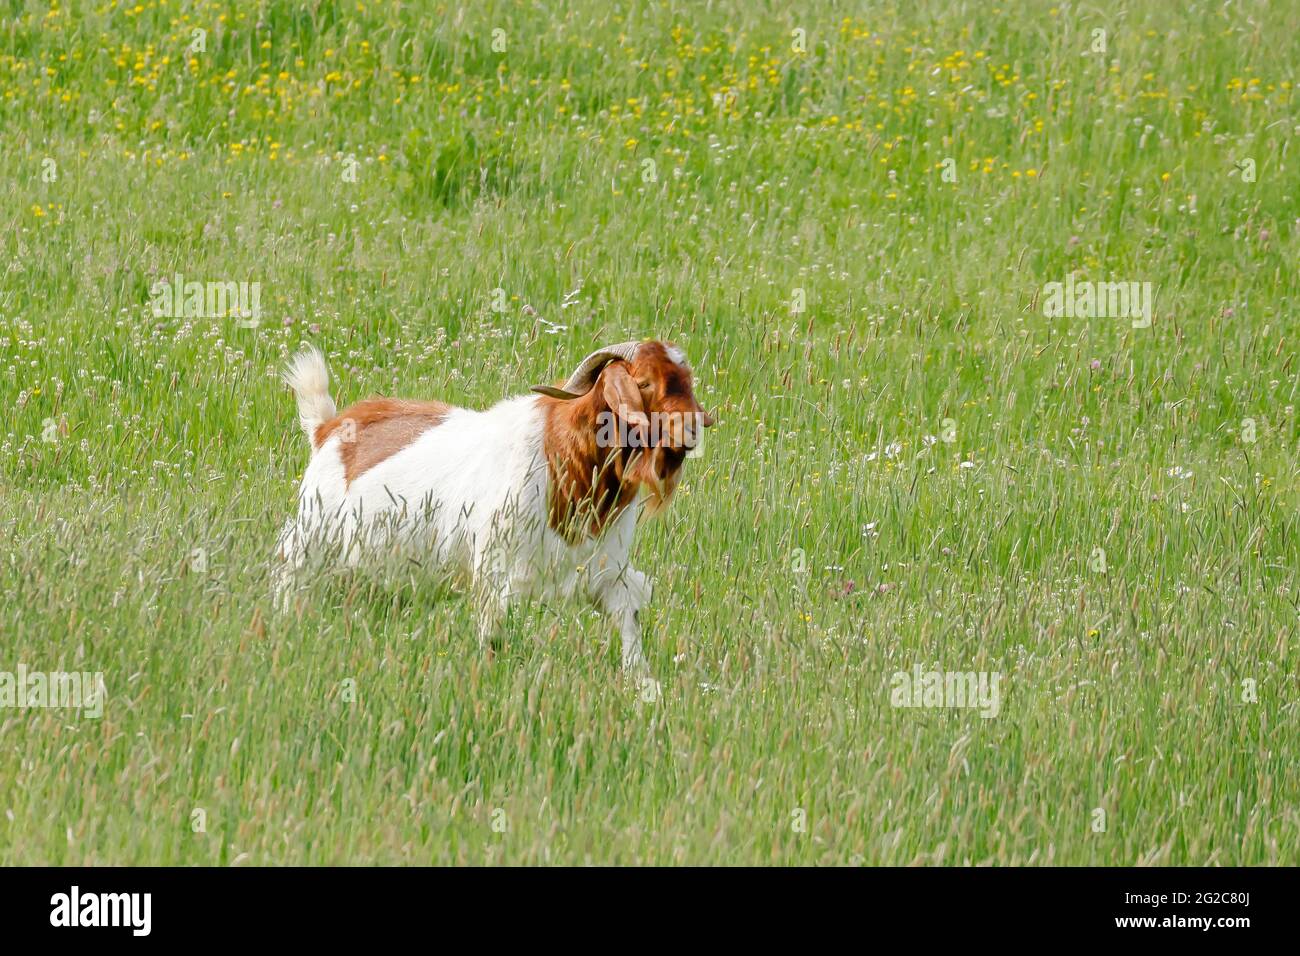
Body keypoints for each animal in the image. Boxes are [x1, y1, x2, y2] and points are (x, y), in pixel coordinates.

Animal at [274, 340, 713, 696]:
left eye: (685, 379)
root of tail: (328, 427)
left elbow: (628, 620)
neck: (564, 459)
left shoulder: (607, 570)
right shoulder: (496, 571)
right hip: (311, 541)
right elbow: (493, 635)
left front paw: (644, 684)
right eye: (644, 382)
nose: (691, 428)